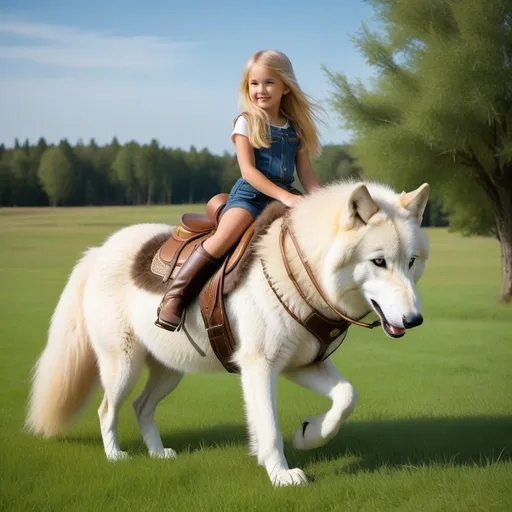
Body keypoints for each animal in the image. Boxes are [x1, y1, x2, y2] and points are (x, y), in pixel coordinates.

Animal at [26, 182, 430, 486]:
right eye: (378, 261)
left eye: (411, 261)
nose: (414, 320)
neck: (297, 270)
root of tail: (99, 250)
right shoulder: (259, 366)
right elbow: (267, 426)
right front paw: (282, 476)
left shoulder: (301, 365)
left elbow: (346, 397)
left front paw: (308, 434)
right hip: (122, 364)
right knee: (107, 409)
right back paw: (116, 457)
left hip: (169, 369)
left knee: (141, 407)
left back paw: (158, 454)